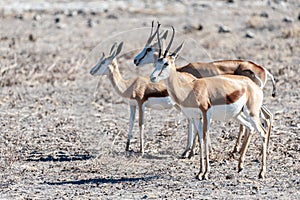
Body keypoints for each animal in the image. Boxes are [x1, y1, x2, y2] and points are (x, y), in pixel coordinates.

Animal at [135, 21, 276, 156]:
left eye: (149, 48)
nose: (135, 60)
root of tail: (262, 69)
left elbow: (195, 125)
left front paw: (192, 151)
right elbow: (193, 123)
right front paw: (190, 151)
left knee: (261, 120)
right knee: (266, 117)